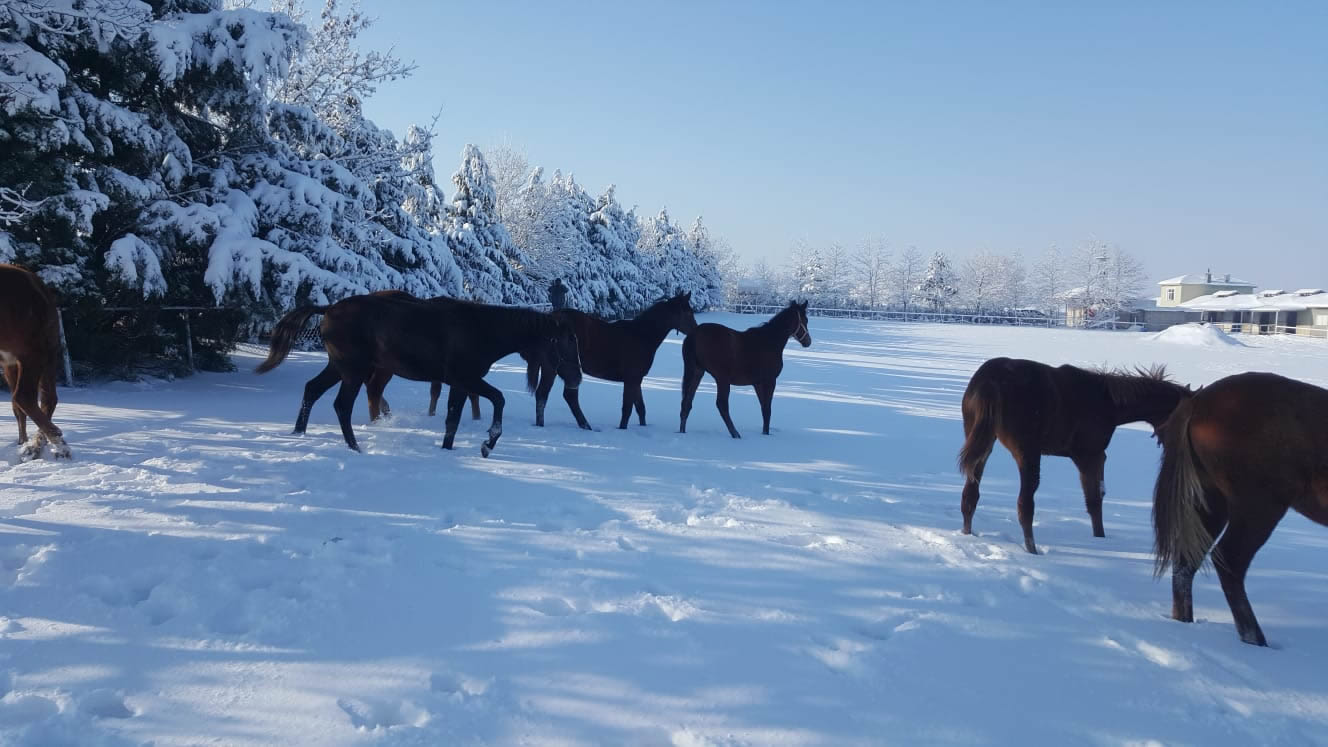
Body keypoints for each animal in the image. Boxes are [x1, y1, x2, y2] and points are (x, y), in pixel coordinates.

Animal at [0, 261, 70, 459]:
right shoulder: (35, 354)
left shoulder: (14, 361)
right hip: (40, 353)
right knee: (29, 397)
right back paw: (54, 444)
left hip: (25, 359)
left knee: (23, 401)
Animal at [256, 293, 579, 457]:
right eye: (561, 342)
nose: (576, 378)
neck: (481, 329)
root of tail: (329, 309)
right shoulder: (466, 379)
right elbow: (498, 399)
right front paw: (488, 443)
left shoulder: (460, 383)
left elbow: (452, 419)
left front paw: (449, 449)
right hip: (354, 371)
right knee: (342, 406)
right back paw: (355, 448)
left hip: (339, 367)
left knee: (312, 390)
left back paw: (299, 433)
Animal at [525, 292, 701, 430]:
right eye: (687, 313)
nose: (696, 332)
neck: (642, 335)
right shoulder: (631, 379)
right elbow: (627, 409)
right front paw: (622, 429)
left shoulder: (636, 380)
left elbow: (640, 409)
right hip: (556, 367)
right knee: (554, 395)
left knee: (551, 396)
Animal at [679, 297, 812, 435]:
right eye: (805, 320)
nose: (808, 341)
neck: (769, 341)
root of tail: (693, 335)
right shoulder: (770, 381)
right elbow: (767, 410)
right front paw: (766, 434)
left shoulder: (757, 383)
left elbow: (764, 409)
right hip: (722, 379)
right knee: (721, 405)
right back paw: (735, 434)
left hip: (697, 372)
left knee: (686, 403)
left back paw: (682, 431)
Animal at [956, 353, 1195, 552]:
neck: (1108, 403)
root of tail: (990, 382)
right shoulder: (1091, 456)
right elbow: (1094, 500)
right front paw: (1100, 540)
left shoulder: (1093, 458)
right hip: (1027, 453)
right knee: (1025, 505)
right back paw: (1032, 550)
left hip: (983, 445)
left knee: (970, 496)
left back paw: (968, 534)